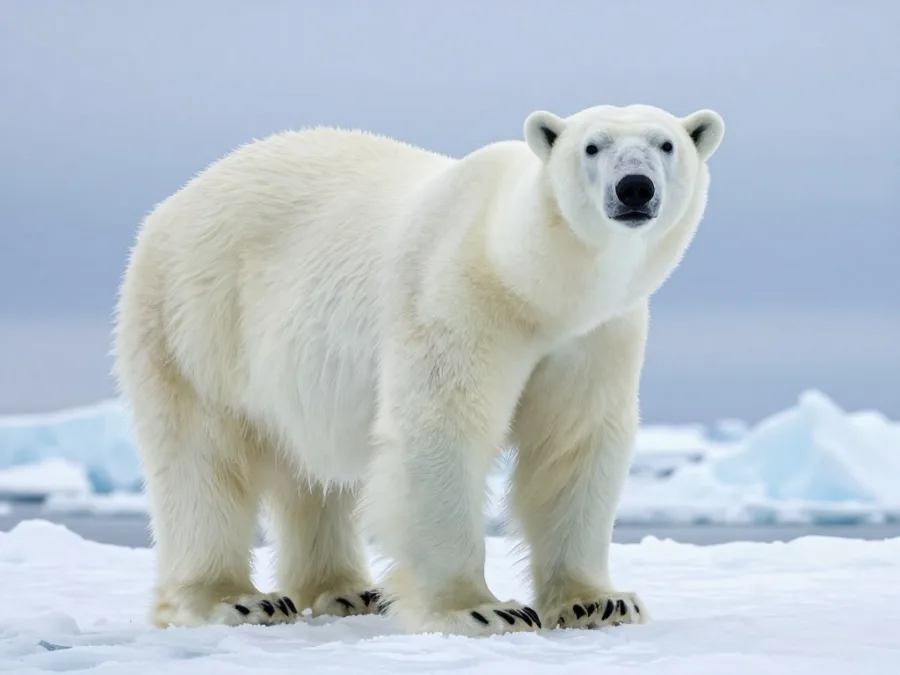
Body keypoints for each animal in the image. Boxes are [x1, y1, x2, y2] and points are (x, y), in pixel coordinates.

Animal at [113, 103, 724, 636]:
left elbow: (574, 441)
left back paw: (347, 591)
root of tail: (172, 204)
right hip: (195, 323)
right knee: (202, 458)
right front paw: (481, 610)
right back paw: (234, 599)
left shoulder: (594, 335)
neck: (530, 284)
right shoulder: (455, 297)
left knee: (311, 473)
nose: (634, 188)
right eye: (592, 146)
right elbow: (443, 428)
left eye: (666, 144)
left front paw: (599, 603)